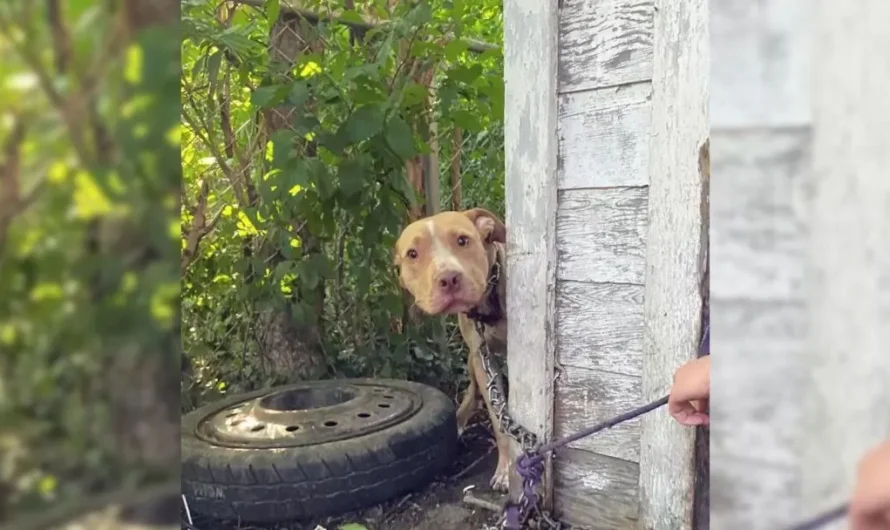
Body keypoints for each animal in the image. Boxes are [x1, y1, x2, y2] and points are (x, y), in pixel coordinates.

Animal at [394, 208, 510, 488]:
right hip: (472, 361)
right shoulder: (482, 359)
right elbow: (498, 419)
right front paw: (506, 468)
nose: (448, 278)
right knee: (472, 391)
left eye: (462, 240)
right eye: (412, 254)